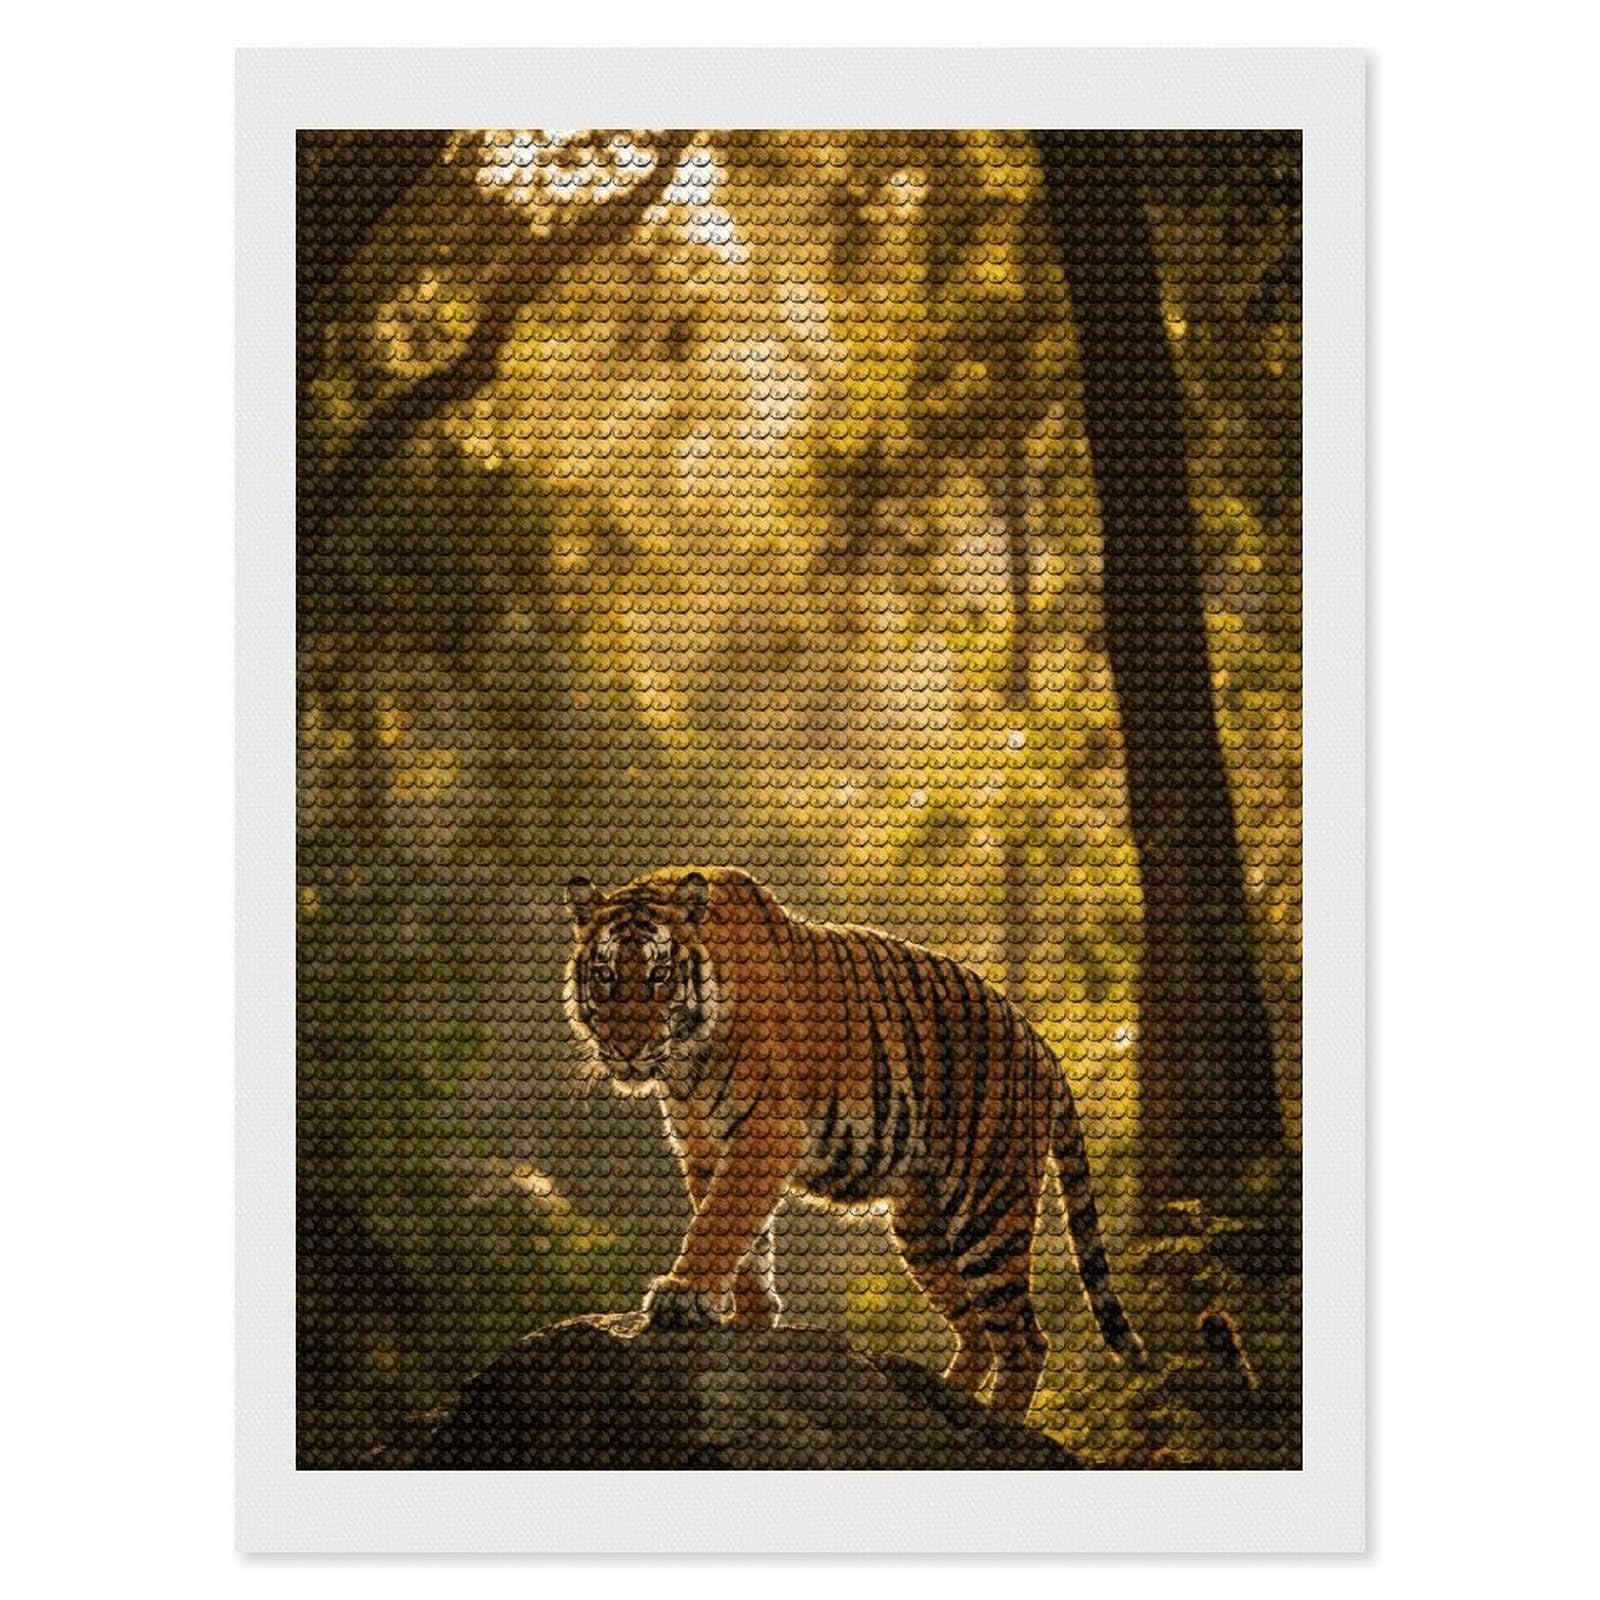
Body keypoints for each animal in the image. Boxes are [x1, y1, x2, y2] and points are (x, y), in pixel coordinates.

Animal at [563, 865, 1144, 1419]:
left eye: (659, 975)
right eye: (605, 976)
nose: (627, 1047)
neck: (685, 1059)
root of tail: (1043, 1048)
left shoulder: (767, 1130)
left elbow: (719, 1221)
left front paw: (683, 1295)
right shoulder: (704, 1144)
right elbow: (744, 1239)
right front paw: (750, 1316)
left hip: (988, 1207)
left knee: (1025, 1341)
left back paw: (996, 1427)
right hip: (923, 1227)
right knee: (978, 1332)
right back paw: (939, 1399)